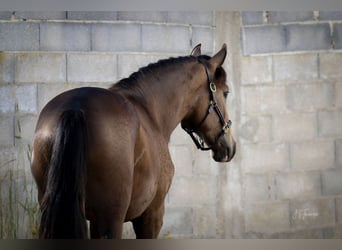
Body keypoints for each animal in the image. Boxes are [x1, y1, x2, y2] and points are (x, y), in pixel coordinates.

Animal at [30, 43, 236, 238]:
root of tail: (75, 108)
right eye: (226, 92)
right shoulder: (152, 214)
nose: (230, 147)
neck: (150, 112)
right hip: (110, 219)